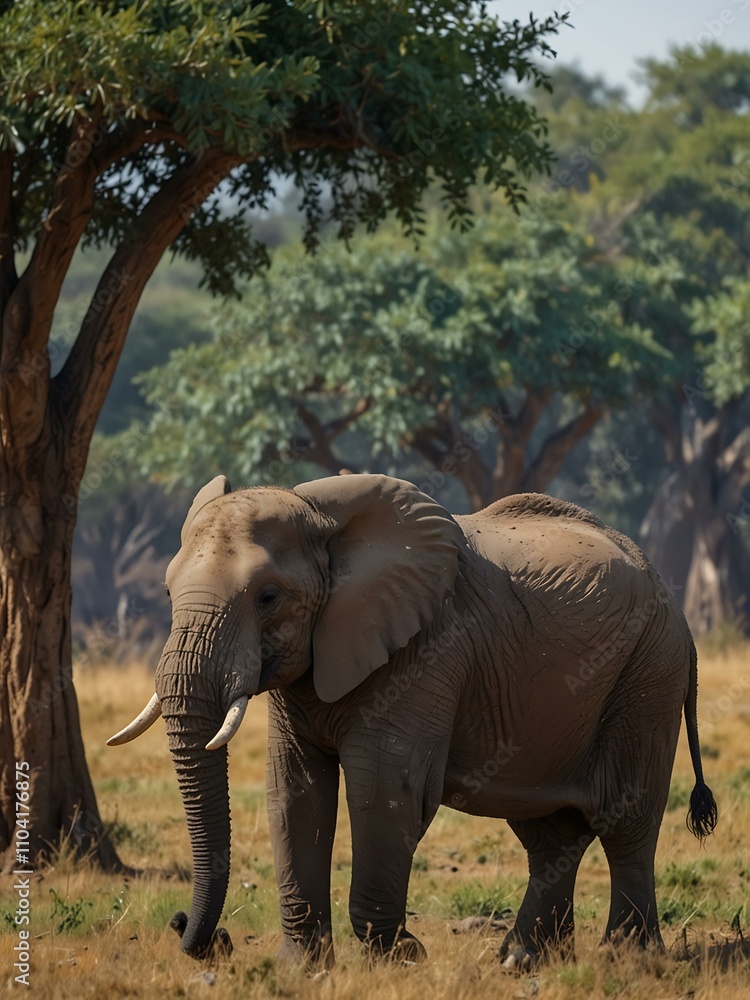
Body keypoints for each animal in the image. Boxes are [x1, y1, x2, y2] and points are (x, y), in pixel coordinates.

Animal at [108, 473, 717, 968]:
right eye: (167, 590)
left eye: (268, 596)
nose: (194, 931)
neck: (322, 518)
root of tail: (674, 602)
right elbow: (293, 792)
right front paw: (300, 967)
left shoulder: (428, 650)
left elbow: (383, 790)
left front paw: (399, 958)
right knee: (550, 831)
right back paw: (522, 961)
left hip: (649, 672)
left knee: (624, 820)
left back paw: (627, 960)